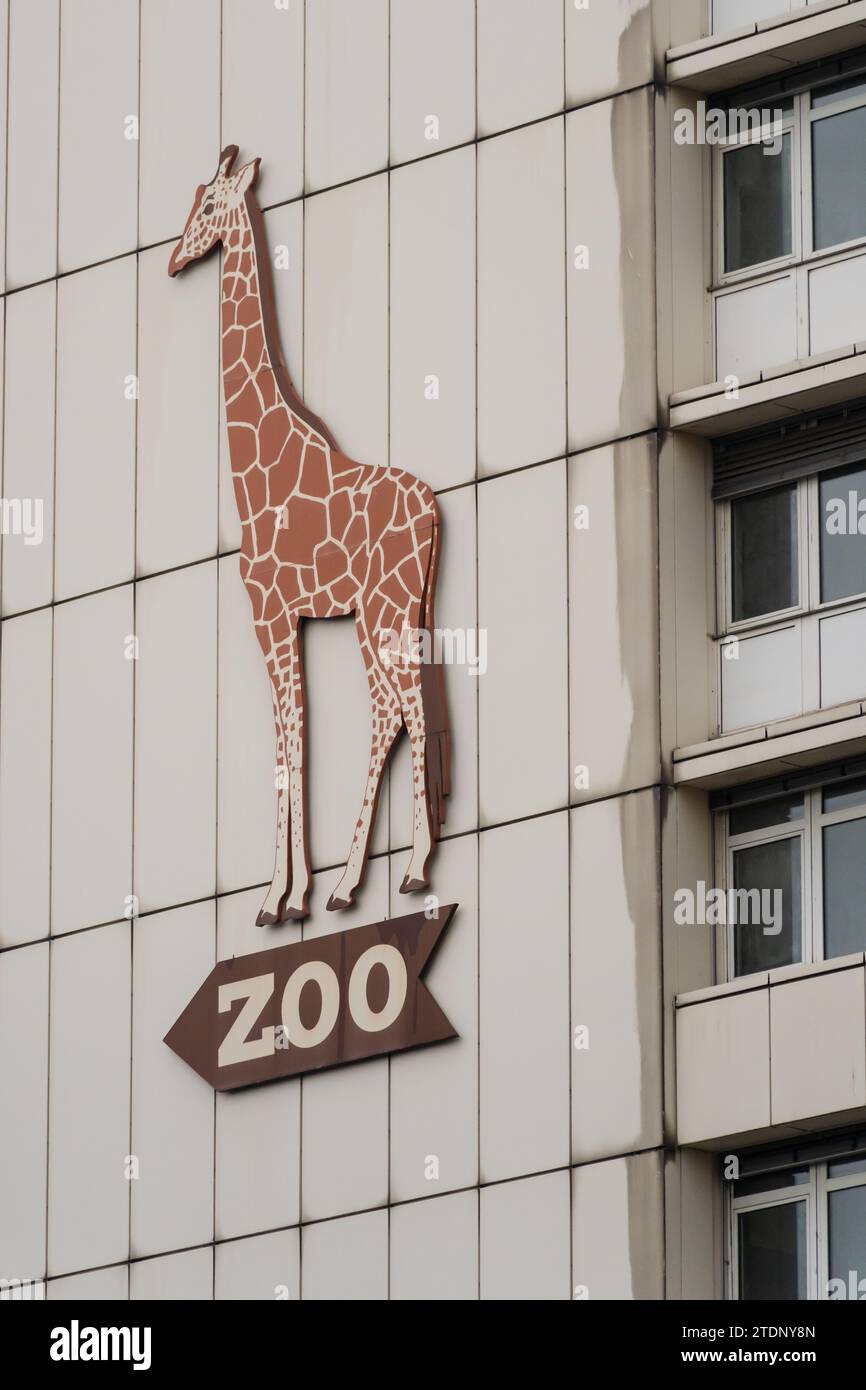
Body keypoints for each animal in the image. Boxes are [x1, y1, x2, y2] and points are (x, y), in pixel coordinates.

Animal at [168, 146, 450, 924]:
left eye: (209, 207)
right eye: (192, 199)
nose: (174, 259)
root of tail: (434, 510)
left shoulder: (268, 612)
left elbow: (289, 735)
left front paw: (278, 898)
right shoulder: (290, 617)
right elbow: (296, 731)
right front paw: (293, 894)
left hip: (384, 608)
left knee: (402, 707)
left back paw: (402, 872)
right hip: (386, 614)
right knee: (395, 708)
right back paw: (356, 880)